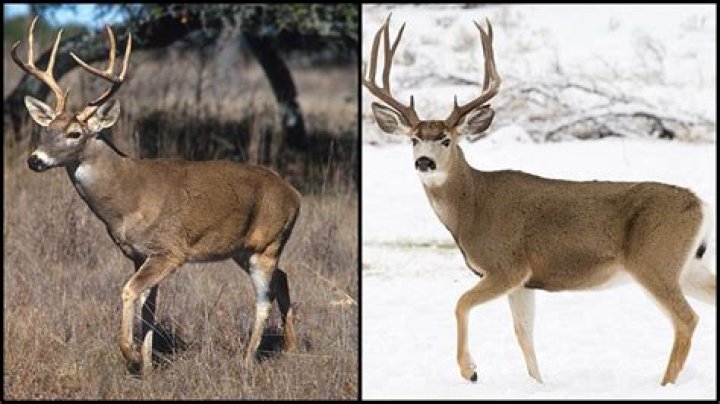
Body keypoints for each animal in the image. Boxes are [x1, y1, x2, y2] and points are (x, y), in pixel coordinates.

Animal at [12, 16, 302, 375]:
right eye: (46, 129)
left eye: (75, 133)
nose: (34, 160)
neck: (127, 199)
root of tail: (295, 195)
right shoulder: (139, 254)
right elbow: (149, 306)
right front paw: (148, 365)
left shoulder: (169, 250)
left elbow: (129, 292)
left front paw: (132, 356)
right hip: (244, 249)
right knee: (283, 279)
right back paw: (291, 348)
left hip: (268, 244)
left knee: (264, 298)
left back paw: (247, 359)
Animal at [363, 15, 715, 386]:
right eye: (414, 139)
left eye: (446, 139)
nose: (424, 162)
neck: (471, 208)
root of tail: (701, 205)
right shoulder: (525, 281)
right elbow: (524, 333)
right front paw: (538, 384)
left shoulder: (507, 265)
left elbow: (461, 303)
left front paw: (470, 370)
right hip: (688, 266)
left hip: (654, 261)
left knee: (686, 319)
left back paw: (665, 384)